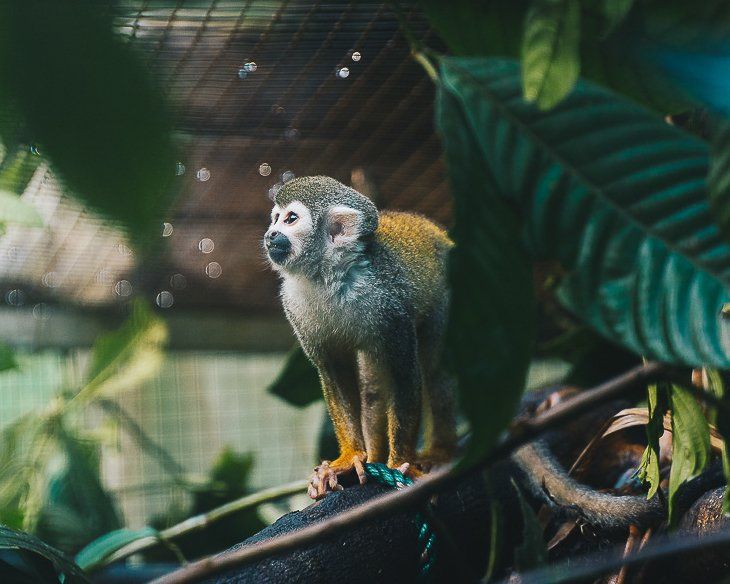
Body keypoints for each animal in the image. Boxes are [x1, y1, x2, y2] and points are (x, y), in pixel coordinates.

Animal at [263, 176, 457, 499]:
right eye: (275, 218)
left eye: (290, 219)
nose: (270, 235)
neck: (327, 276)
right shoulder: (294, 305)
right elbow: (334, 372)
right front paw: (349, 457)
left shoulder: (389, 301)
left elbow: (405, 372)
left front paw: (400, 463)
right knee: (373, 388)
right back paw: (372, 457)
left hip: (447, 296)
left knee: (434, 367)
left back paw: (439, 452)